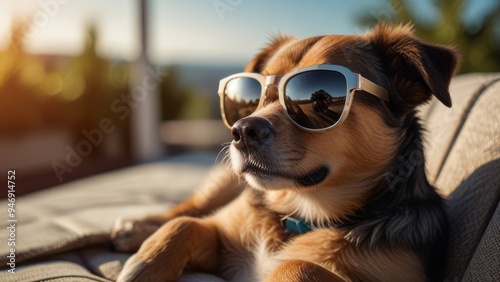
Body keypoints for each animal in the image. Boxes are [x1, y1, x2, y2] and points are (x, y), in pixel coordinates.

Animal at [111, 22, 458, 282]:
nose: (242, 131)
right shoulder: (224, 239)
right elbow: (185, 225)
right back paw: (134, 229)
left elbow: (298, 265)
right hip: (224, 183)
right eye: (257, 94)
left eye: (320, 97)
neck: (300, 216)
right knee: (185, 210)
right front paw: (143, 265)